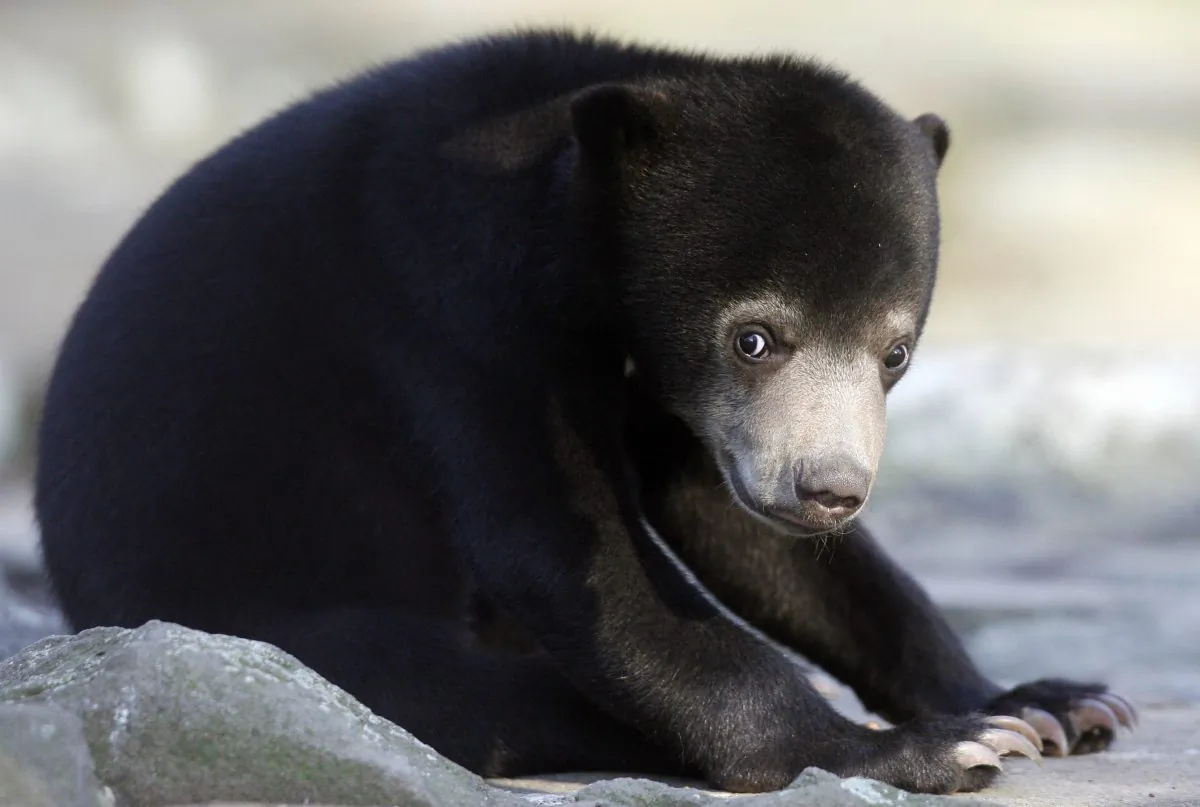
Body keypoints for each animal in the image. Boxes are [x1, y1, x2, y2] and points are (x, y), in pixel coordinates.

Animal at [34, 30, 1135, 795]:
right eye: (754, 337)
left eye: (895, 351)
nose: (830, 488)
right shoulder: (451, 298)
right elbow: (570, 553)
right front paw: (923, 747)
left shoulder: (684, 400)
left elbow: (747, 533)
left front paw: (1042, 703)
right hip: (234, 599)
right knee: (434, 684)